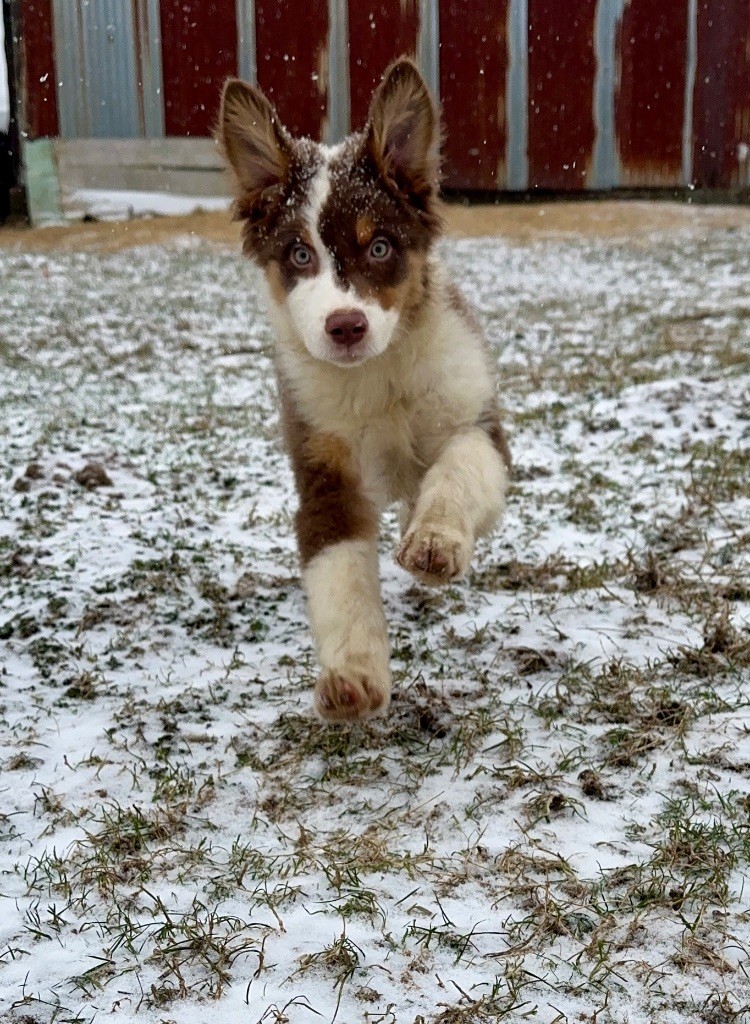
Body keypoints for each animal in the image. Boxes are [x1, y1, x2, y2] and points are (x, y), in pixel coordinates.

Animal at [217, 59, 510, 724]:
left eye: (379, 246)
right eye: (299, 254)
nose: (345, 326)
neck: (377, 376)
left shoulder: (476, 421)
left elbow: (460, 467)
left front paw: (434, 541)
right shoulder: (325, 472)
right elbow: (341, 578)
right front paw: (353, 676)